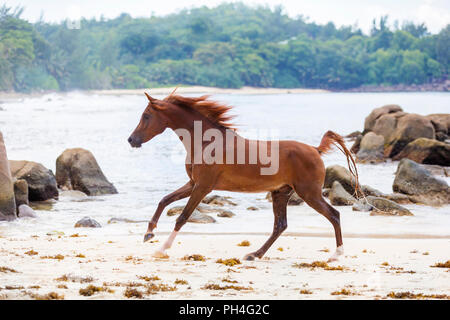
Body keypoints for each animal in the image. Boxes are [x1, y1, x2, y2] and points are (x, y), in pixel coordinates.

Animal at [128, 91, 360, 262]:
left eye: (146, 116)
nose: (131, 140)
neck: (206, 142)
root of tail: (315, 149)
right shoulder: (193, 183)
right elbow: (164, 200)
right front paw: (149, 233)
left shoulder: (203, 186)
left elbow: (182, 217)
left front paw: (161, 249)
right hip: (281, 193)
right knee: (280, 225)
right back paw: (254, 254)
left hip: (309, 194)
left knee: (333, 215)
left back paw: (337, 254)